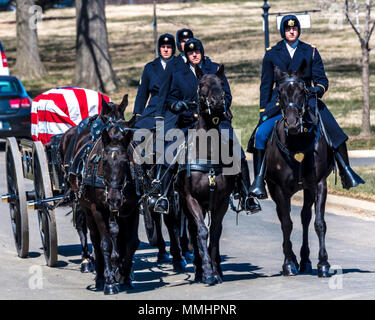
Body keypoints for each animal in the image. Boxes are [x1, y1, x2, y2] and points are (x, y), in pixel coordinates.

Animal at [268, 65, 334, 278]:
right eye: (279, 92)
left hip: (307, 189)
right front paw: (288, 263)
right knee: (284, 216)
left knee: (305, 217)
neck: (297, 141)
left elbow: (319, 223)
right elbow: (286, 224)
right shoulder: (279, 188)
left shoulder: (319, 184)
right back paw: (293, 259)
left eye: (303, 91)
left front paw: (323, 263)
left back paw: (304, 259)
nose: (292, 123)